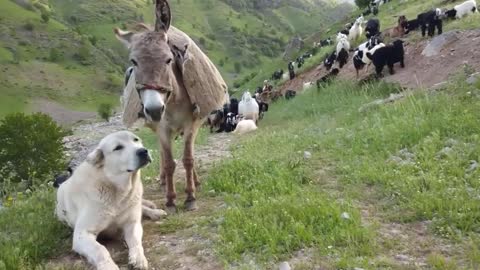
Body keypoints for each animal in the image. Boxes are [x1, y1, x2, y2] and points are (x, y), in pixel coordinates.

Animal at [55, 131, 165, 270]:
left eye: (136, 140)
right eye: (118, 147)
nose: (143, 151)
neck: (118, 191)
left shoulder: (132, 223)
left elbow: (136, 242)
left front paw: (138, 258)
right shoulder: (82, 234)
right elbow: (100, 250)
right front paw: (108, 266)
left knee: (141, 207)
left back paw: (155, 212)